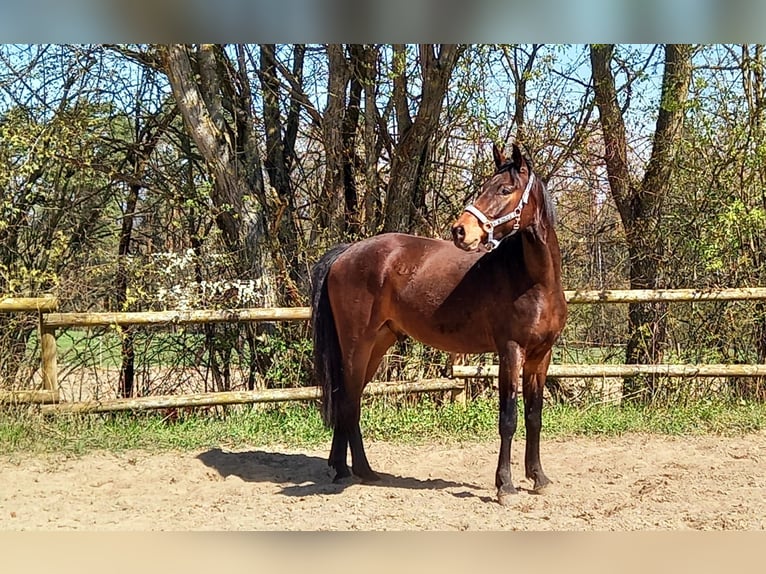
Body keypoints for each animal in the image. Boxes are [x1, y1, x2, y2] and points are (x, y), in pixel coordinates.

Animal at [308, 142, 568, 506]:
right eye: (486, 186)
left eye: (505, 189)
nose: (460, 230)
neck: (535, 281)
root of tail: (346, 252)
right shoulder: (510, 352)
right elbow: (509, 419)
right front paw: (505, 486)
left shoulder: (540, 356)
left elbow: (534, 416)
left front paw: (538, 478)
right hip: (356, 344)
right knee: (347, 399)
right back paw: (350, 471)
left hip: (377, 343)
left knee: (351, 397)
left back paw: (354, 469)